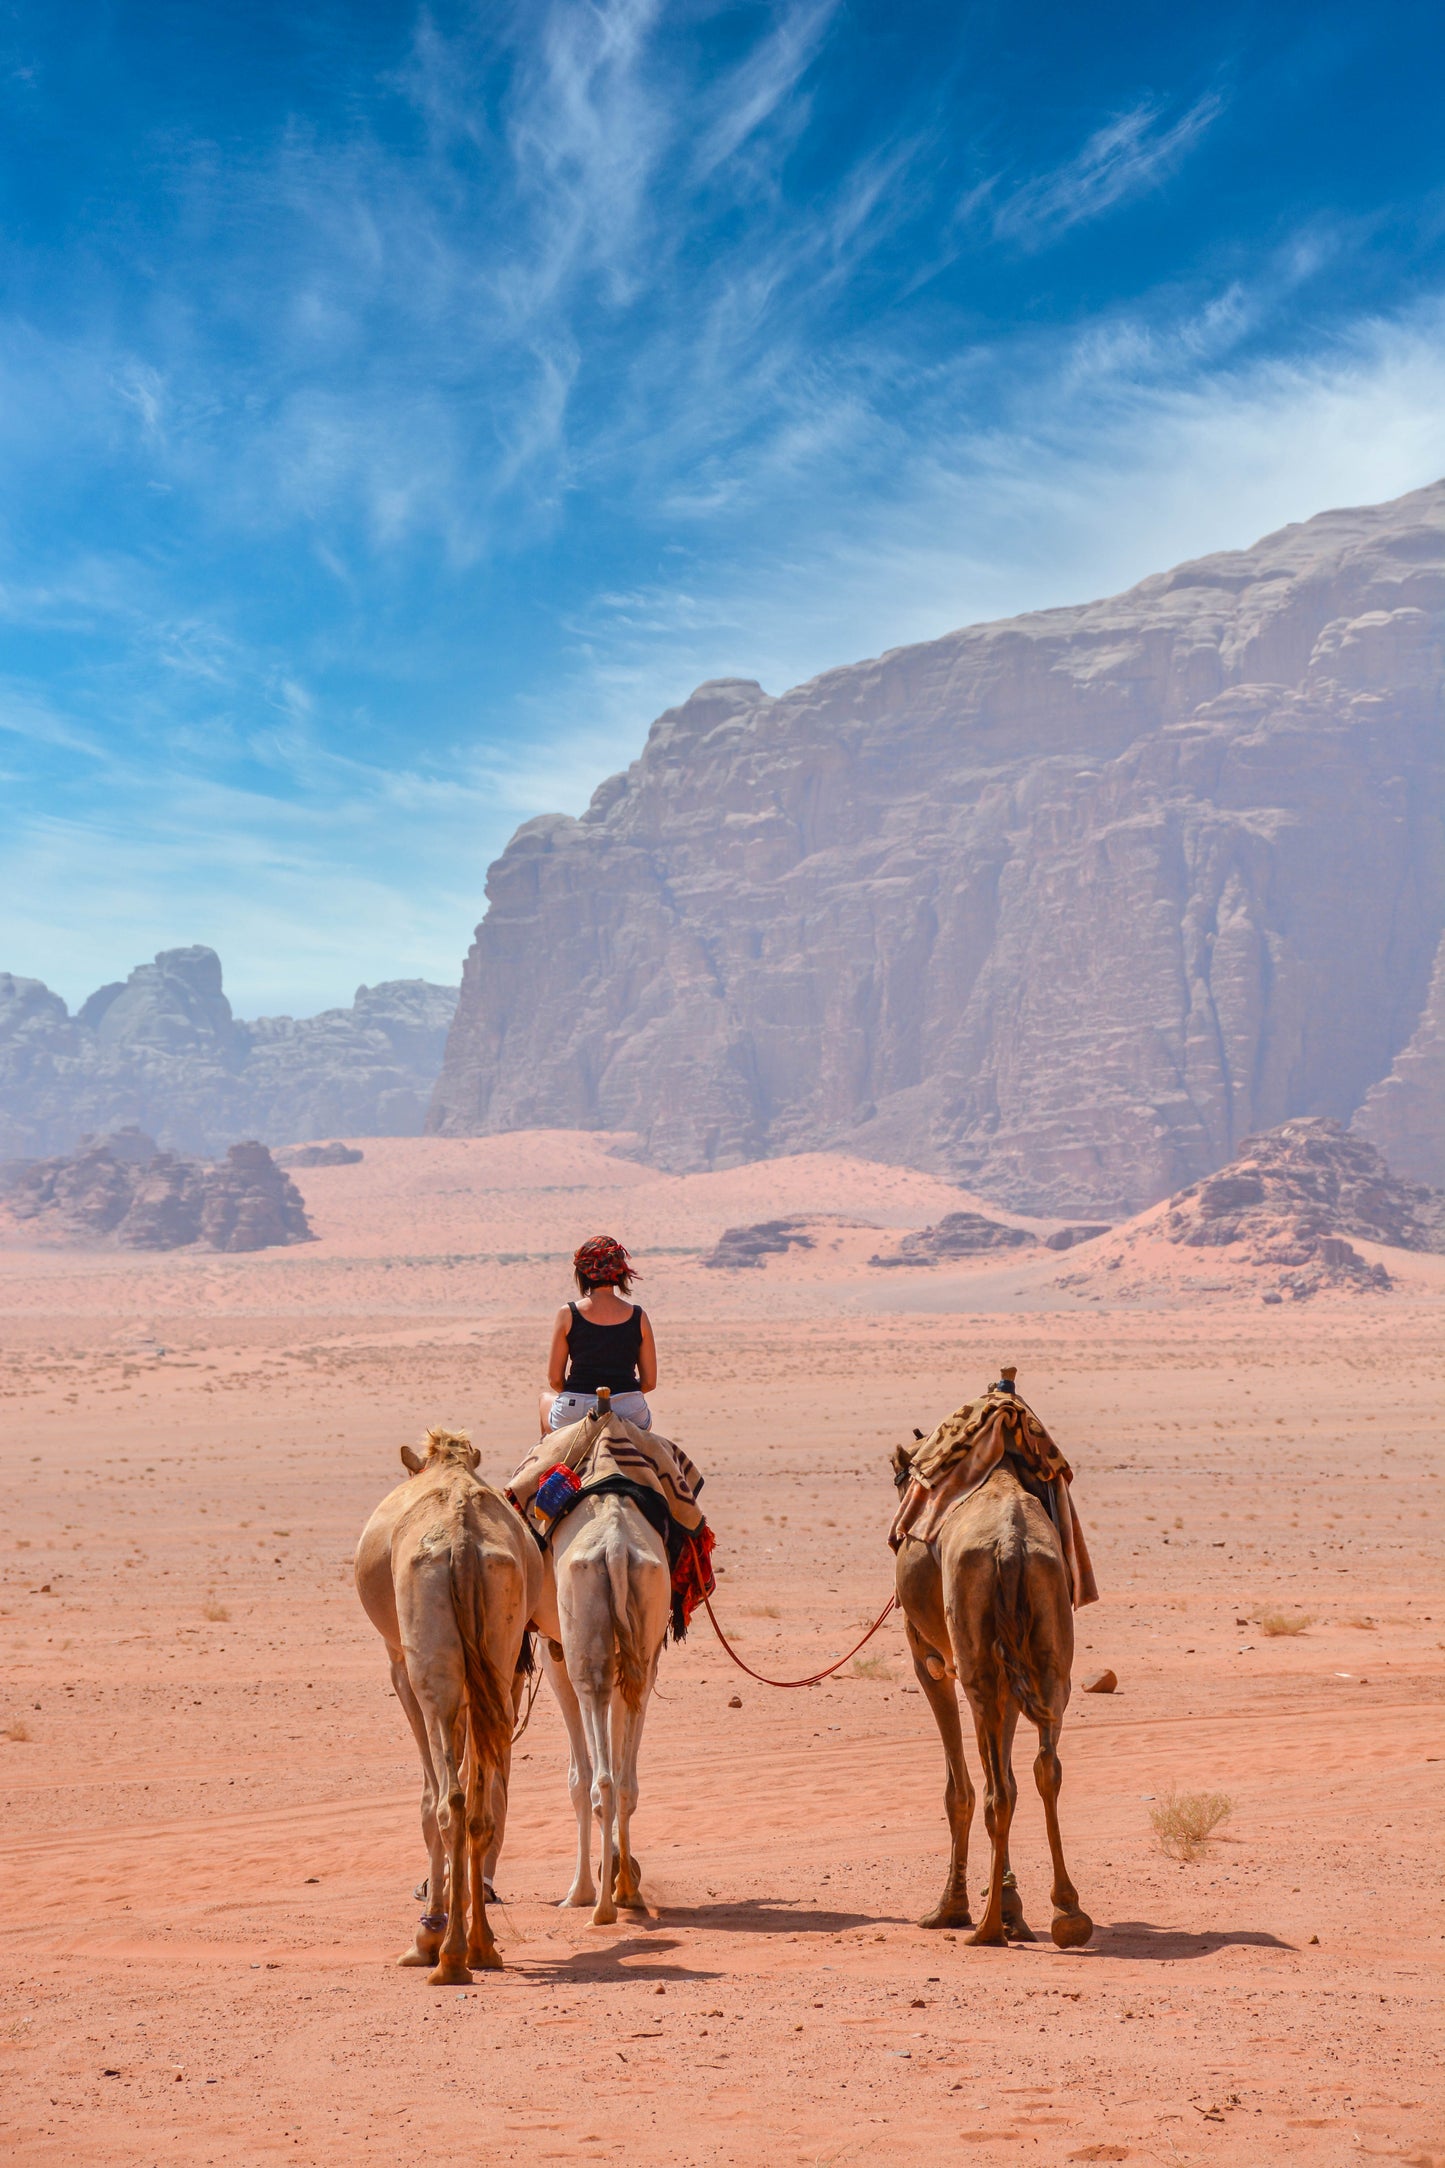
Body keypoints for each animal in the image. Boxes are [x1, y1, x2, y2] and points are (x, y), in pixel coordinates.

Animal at [355, 1428, 542, 1983]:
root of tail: (461, 1540)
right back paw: (480, 1945)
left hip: (430, 1669)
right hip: (497, 1660)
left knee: (449, 1801)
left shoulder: (400, 1667)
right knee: (480, 1805)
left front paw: (426, 1936)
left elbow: (426, 1797)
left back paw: (447, 1953)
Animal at [529, 1399, 672, 1926]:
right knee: (626, 1779)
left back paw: (599, 1905)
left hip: (581, 1654)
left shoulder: (554, 1654)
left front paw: (580, 1890)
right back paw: (626, 1890)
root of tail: (613, 1545)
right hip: (642, 1641)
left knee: (601, 1779)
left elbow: (577, 1778)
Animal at [895, 1459, 1092, 1950]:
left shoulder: (927, 1659)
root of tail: (1010, 1546)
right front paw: (1011, 1908)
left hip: (976, 1667)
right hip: (1049, 1655)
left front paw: (952, 1909)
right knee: (1045, 1769)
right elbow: (1012, 1777)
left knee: (994, 1789)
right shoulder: (1012, 1675)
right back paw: (1068, 1913)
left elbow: (959, 1791)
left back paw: (984, 1930)